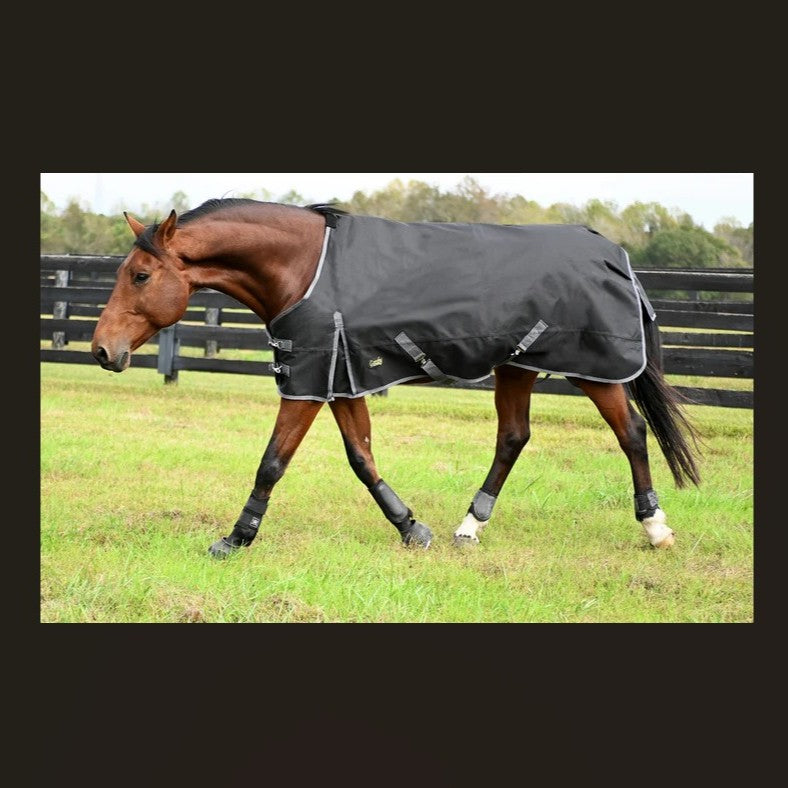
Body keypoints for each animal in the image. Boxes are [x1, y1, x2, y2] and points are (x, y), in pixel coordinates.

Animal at [91, 198, 700, 558]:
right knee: (513, 438)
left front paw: (236, 538)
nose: (101, 350)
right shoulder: (339, 376)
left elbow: (273, 462)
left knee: (631, 434)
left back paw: (656, 527)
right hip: (517, 366)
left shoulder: (309, 378)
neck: (304, 267)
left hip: (594, 370)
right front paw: (411, 528)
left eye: (140, 275)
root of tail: (612, 253)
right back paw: (469, 527)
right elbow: (361, 457)